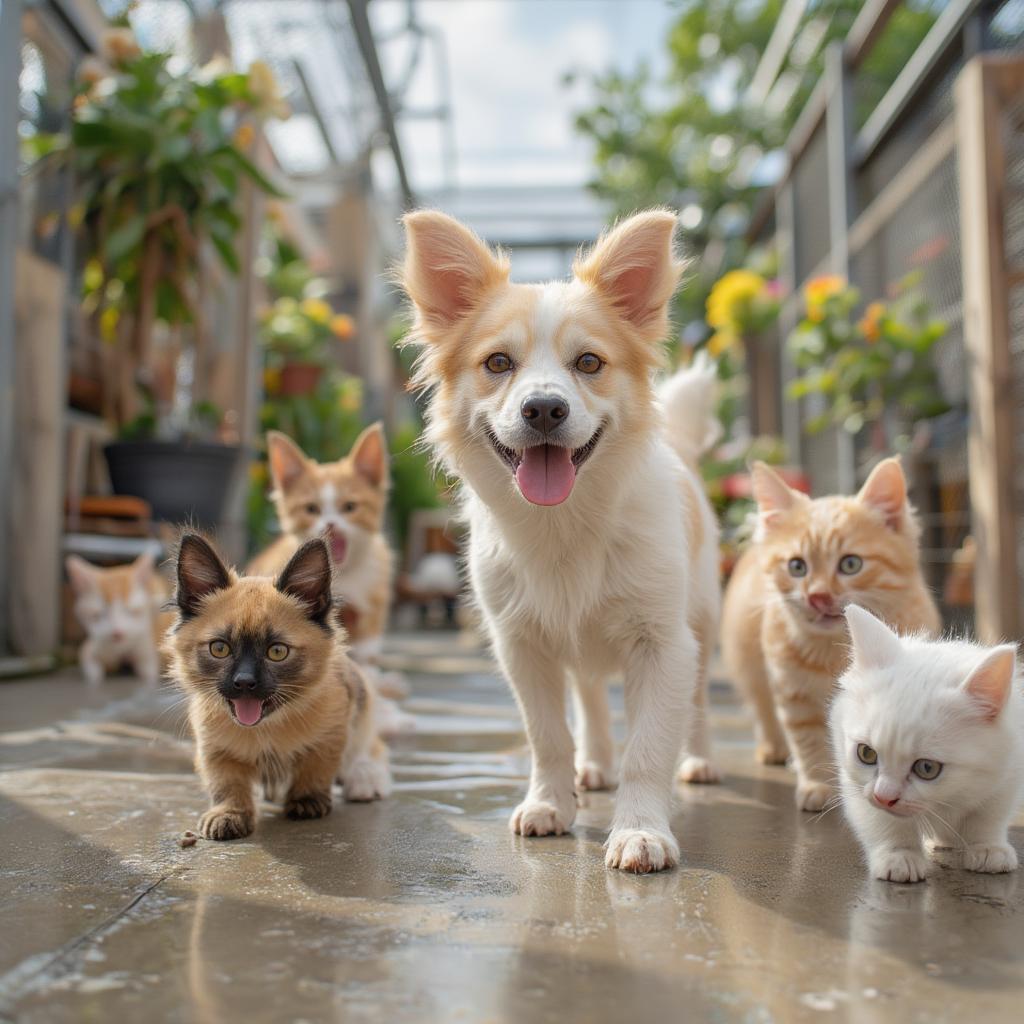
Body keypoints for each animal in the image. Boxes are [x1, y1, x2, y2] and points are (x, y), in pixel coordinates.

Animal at [165, 528, 389, 839]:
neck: (265, 728)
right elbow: (226, 784)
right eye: (219, 649)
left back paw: (365, 780)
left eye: (277, 652)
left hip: (362, 708)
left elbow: (316, 769)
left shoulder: (331, 735)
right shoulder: (214, 749)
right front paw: (229, 814)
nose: (244, 682)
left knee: (372, 749)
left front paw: (307, 801)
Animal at [397, 209, 720, 872]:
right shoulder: (521, 646)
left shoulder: (665, 645)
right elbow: (547, 735)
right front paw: (551, 801)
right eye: (498, 364)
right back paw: (593, 766)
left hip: (702, 628)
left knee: (698, 704)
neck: (564, 524)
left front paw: (641, 830)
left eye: (589, 364)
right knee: (591, 698)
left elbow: (649, 747)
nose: (544, 408)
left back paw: (698, 760)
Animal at [720, 460, 937, 811]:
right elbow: (807, 738)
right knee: (761, 707)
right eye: (797, 567)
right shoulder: (792, 691)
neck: (835, 651)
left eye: (850, 564)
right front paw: (816, 784)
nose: (818, 596)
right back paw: (774, 748)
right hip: (748, 664)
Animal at [827, 602, 1019, 884]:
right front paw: (899, 856)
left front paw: (987, 847)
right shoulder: (856, 784)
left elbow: (987, 815)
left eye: (927, 768)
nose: (884, 797)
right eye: (866, 753)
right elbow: (886, 822)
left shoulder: (1007, 772)